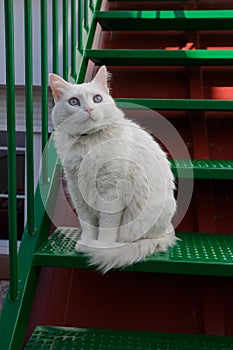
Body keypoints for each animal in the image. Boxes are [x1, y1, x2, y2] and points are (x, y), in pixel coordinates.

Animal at [49, 66, 177, 274]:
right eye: (74, 102)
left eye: (97, 99)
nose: (89, 109)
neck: (87, 143)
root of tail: (167, 232)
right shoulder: (77, 192)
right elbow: (87, 225)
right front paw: (86, 242)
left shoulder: (111, 193)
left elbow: (106, 230)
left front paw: (99, 247)